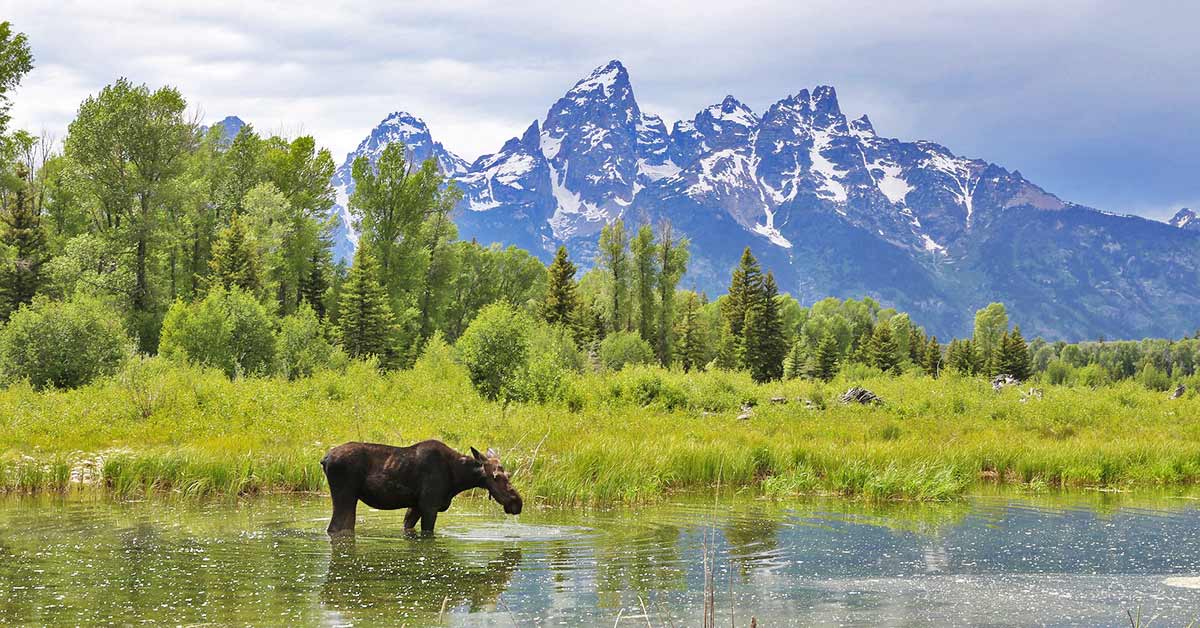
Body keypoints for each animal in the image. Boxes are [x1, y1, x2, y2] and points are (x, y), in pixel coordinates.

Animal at [321, 441, 523, 535]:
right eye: (496, 477)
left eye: (509, 474)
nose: (517, 502)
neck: (458, 479)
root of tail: (324, 460)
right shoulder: (429, 506)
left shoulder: (415, 506)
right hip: (345, 496)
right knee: (335, 527)